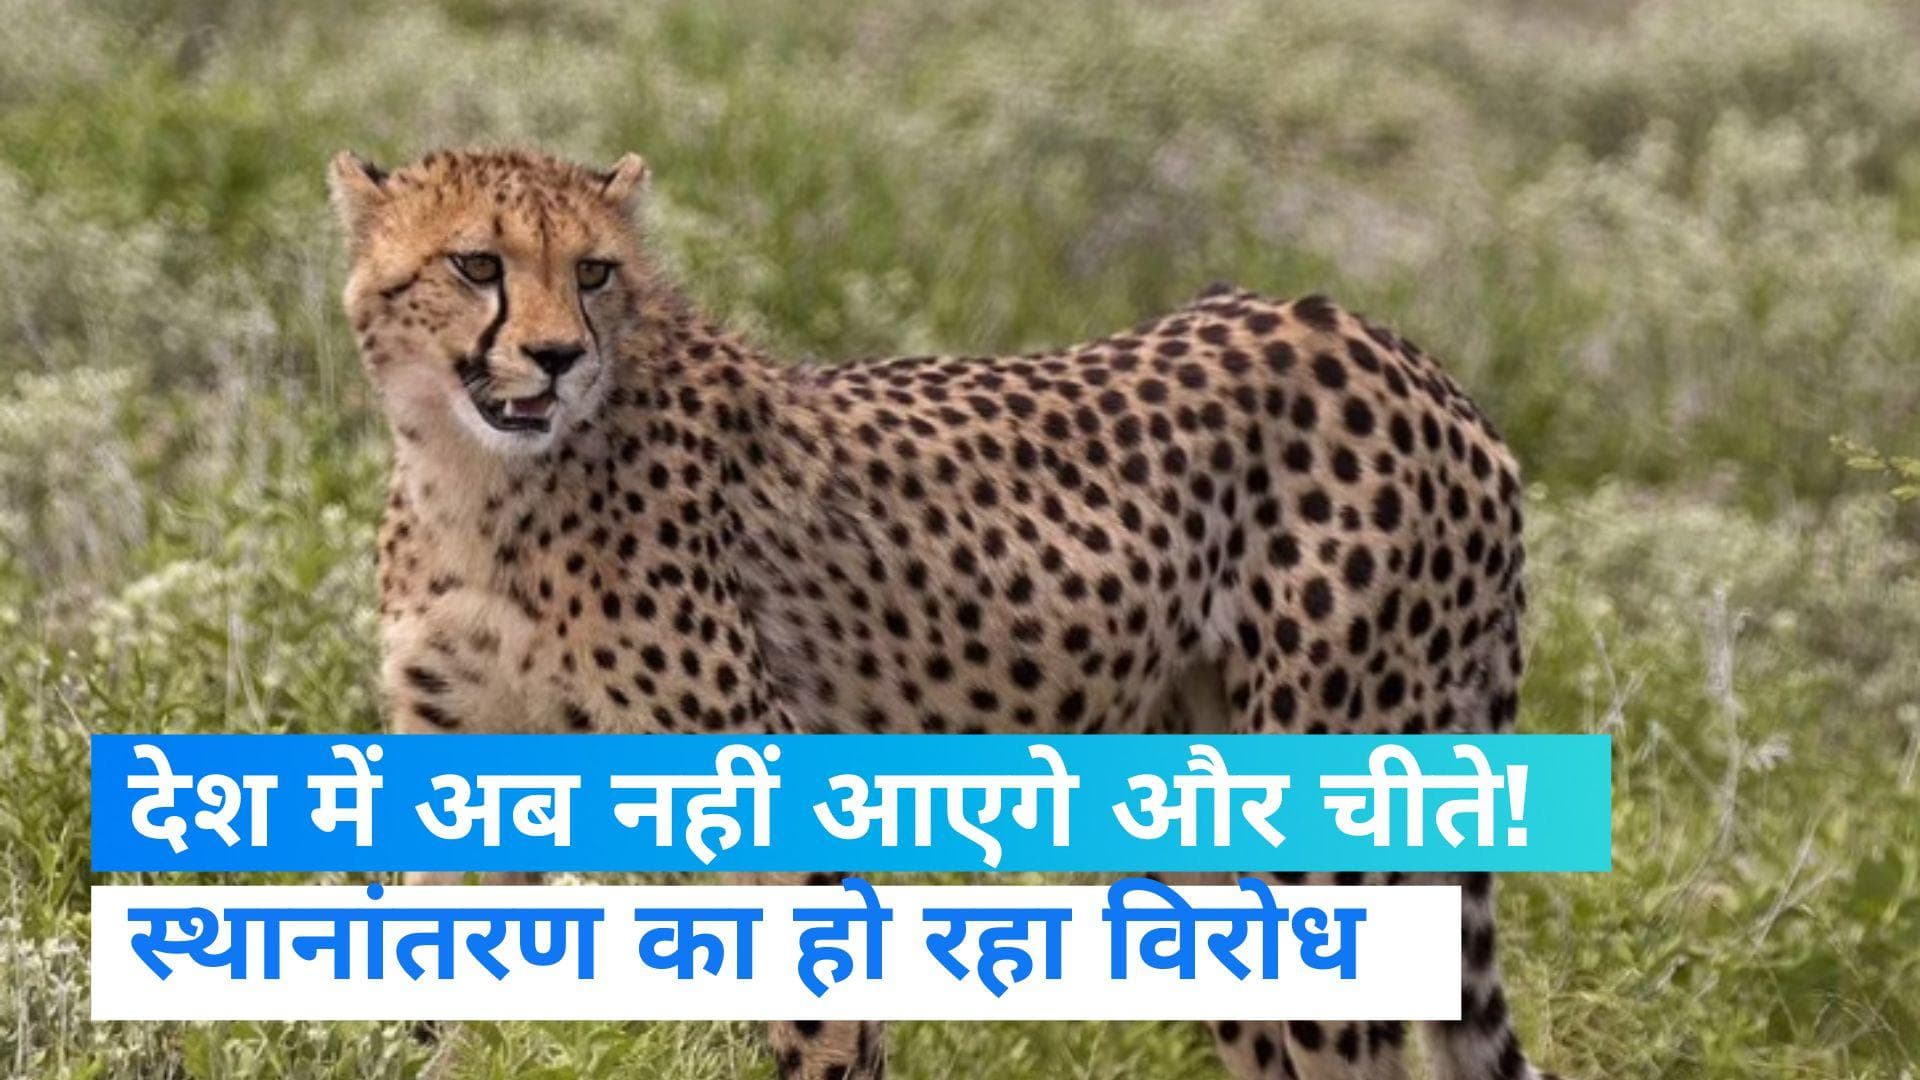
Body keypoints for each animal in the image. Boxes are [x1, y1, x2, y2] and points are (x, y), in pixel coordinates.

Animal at [331, 146, 1561, 1080]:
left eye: (593, 272)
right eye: (477, 263)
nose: (554, 354)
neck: (479, 481)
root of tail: (1409, 357)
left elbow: (822, 1032)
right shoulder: (462, 763)